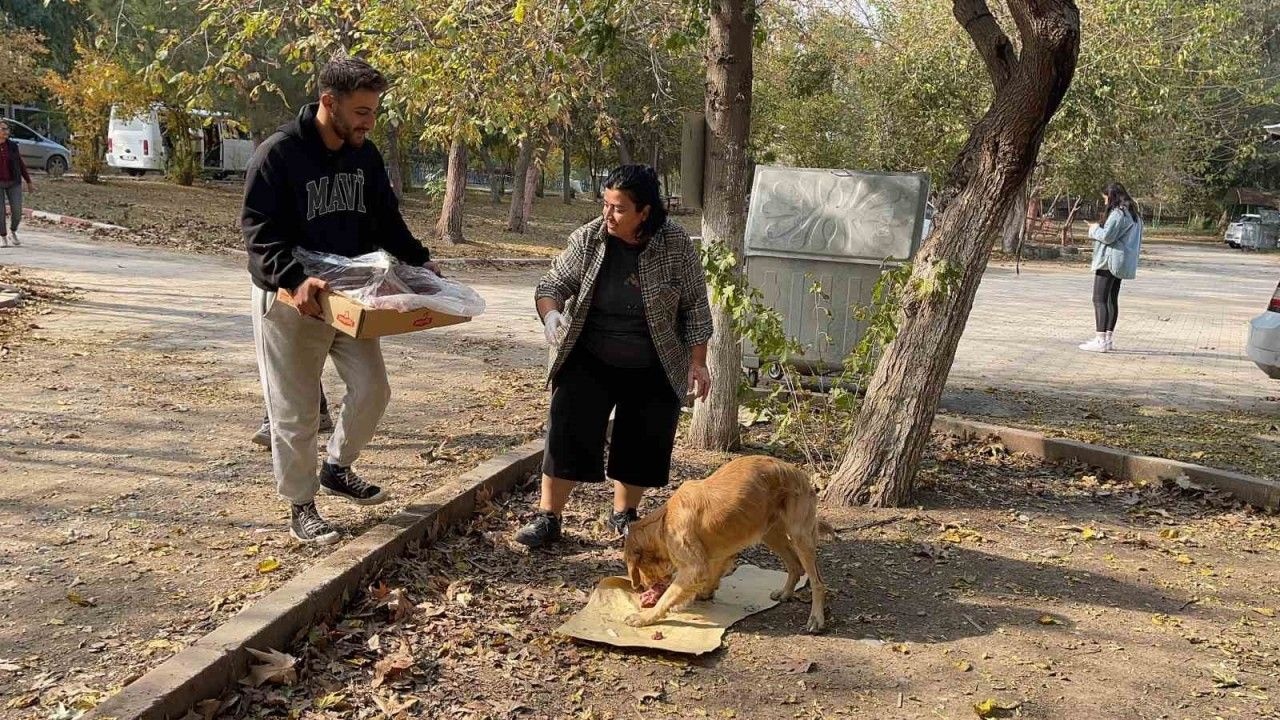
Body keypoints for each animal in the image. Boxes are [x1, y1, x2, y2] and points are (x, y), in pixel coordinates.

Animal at [622, 456, 829, 630]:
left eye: (639, 570)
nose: (643, 588)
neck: (664, 521)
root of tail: (799, 473)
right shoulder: (718, 555)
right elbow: (709, 578)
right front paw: (702, 594)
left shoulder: (695, 566)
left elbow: (669, 595)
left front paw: (646, 616)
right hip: (770, 534)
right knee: (795, 566)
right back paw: (785, 593)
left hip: (800, 536)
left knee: (817, 582)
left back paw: (816, 619)